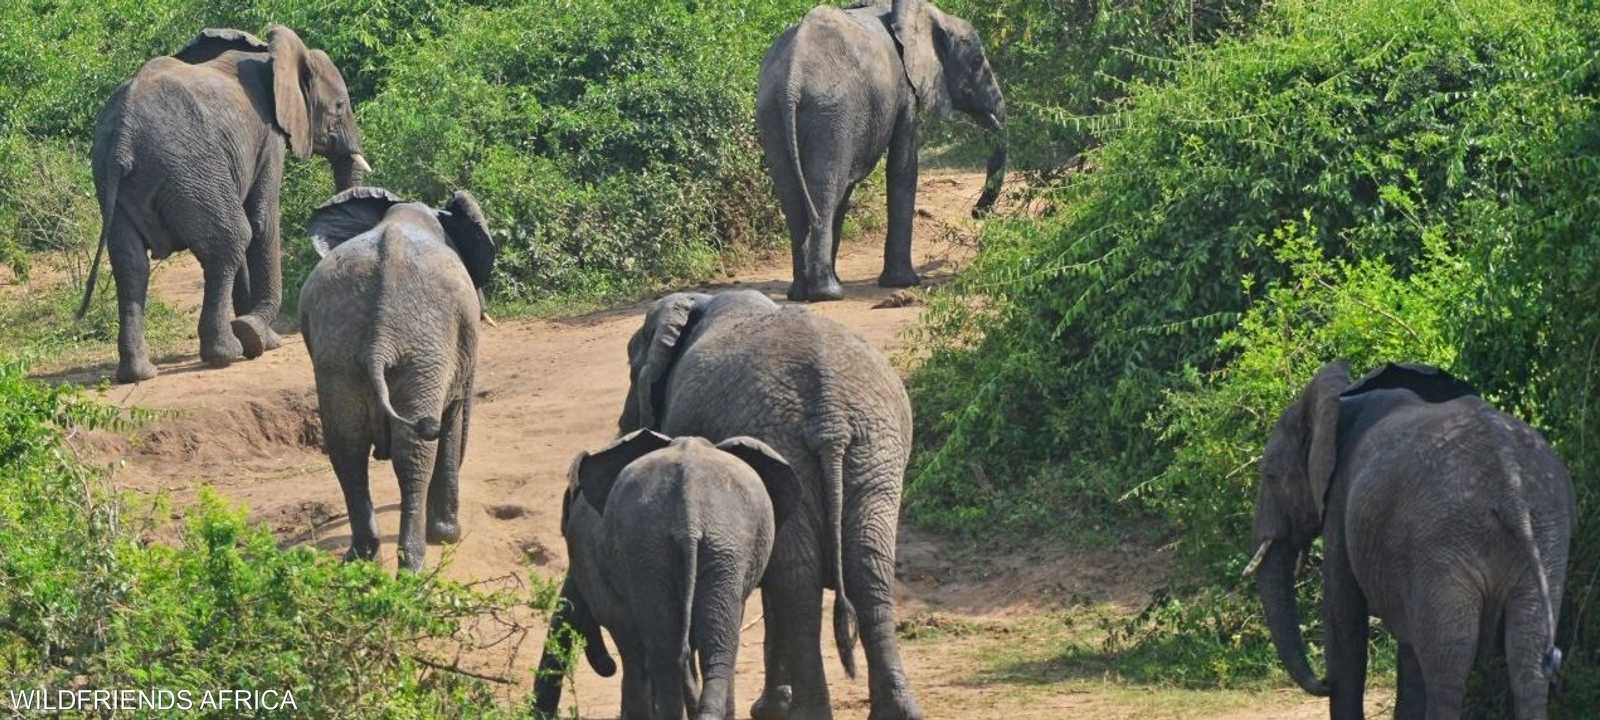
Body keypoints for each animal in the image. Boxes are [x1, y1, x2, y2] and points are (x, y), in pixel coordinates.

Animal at [83, 27, 368, 382]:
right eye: (340, 106)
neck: (269, 56)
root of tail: (124, 135)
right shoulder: (269, 137)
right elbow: (261, 219)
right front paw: (257, 336)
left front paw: (257, 337)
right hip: (189, 167)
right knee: (230, 239)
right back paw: (225, 353)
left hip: (116, 181)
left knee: (130, 263)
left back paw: (139, 374)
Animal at [297, 187, 496, 572]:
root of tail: (380, 341)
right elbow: (452, 418)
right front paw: (448, 536)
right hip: (424, 352)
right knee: (415, 449)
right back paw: (413, 565)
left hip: (340, 356)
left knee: (347, 447)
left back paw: (361, 558)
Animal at [537, 428, 806, 716]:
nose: (608, 667)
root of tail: (689, 514)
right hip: (689, 547)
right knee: (703, 647)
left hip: (694, 546)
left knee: (678, 649)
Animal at [758, 0, 1004, 300]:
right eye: (978, 61)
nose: (977, 213)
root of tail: (792, 79)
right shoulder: (906, 89)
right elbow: (903, 167)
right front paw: (904, 283)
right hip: (832, 112)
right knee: (826, 189)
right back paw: (828, 293)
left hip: (773, 112)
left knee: (794, 194)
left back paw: (801, 293)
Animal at [1241, 363, 1568, 716]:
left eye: (1270, 476)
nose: (1324, 682)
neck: (1341, 400)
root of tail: (1510, 487)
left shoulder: (1341, 500)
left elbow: (1343, 614)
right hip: (1548, 533)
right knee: (1528, 658)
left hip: (1445, 536)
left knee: (1448, 662)